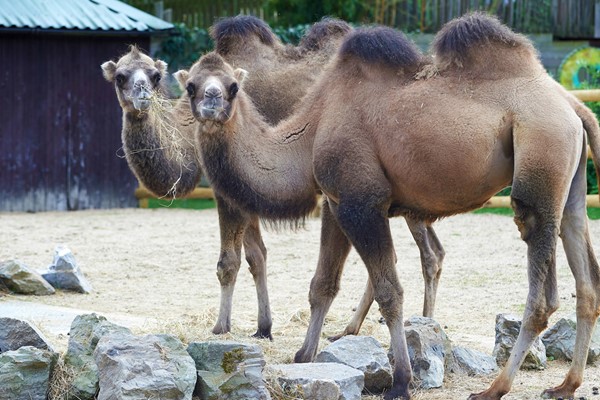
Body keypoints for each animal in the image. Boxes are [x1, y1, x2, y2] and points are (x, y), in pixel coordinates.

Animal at [180, 13, 600, 400]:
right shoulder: (337, 202)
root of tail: (572, 106)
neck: (312, 127)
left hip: (541, 155)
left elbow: (389, 292)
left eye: (233, 87)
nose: (211, 104)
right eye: (191, 86)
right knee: (585, 270)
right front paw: (304, 356)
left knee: (541, 288)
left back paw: (495, 388)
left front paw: (400, 380)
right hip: (571, 180)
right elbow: (322, 285)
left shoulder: (362, 201)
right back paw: (566, 384)